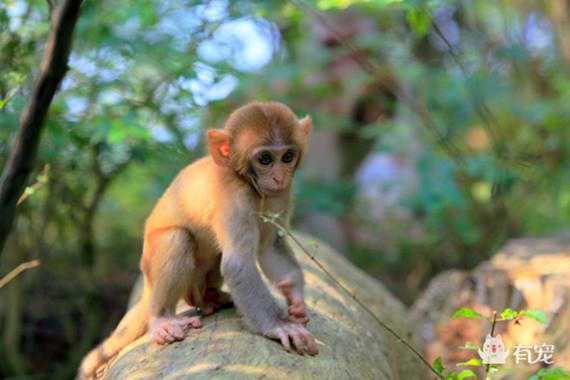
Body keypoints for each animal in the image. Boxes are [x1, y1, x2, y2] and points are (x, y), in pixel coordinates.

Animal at [79, 102, 318, 378]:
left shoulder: (280, 196)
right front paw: (279, 325)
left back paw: (209, 298)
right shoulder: (234, 197)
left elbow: (269, 247)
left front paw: (295, 298)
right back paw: (162, 320)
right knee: (177, 239)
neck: (247, 182)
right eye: (265, 159)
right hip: (153, 266)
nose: (279, 177)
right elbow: (238, 263)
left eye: (287, 157)